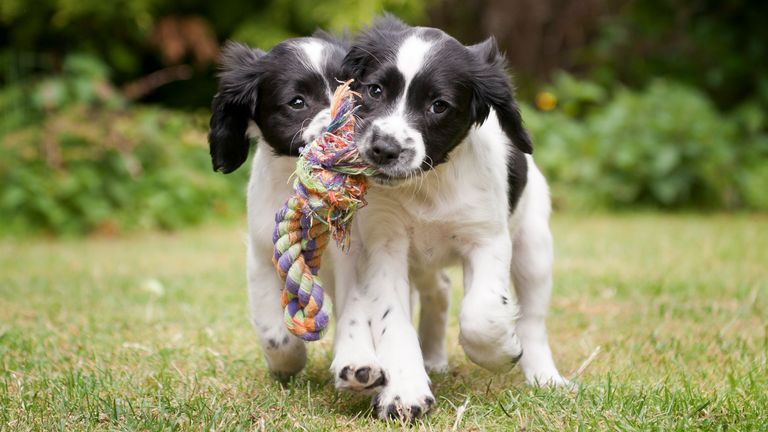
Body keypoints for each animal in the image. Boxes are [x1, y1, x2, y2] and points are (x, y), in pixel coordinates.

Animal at [330, 16, 568, 418]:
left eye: (439, 105)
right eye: (375, 90)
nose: (383, 149)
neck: (428, 184)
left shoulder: (487, 239)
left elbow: (481, 313)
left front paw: (501, 350)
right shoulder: (384, 245)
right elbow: (393, 320)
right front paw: (406, 391)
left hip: (534, 246)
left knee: (533, 319)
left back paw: (544, 377)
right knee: (438, 290)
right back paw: (433, 358)